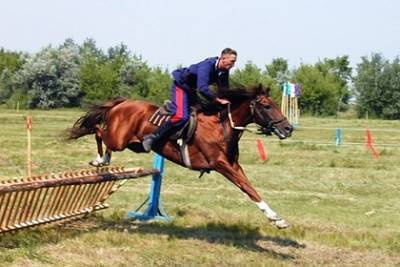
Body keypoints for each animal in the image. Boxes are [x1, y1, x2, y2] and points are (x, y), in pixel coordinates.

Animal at [68, 85, 294, 229]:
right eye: (267, 106)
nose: (288, 128)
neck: (222, 125)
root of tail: (122, 103)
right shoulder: (221, 164)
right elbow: (246, 187)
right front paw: (276, 218)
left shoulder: (233, 164)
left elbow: (251, 188)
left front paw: (276, 219)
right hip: (119, 139)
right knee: (98, 130)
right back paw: (100, 160)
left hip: (135, 145)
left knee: (102, 134)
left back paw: (103, 159)